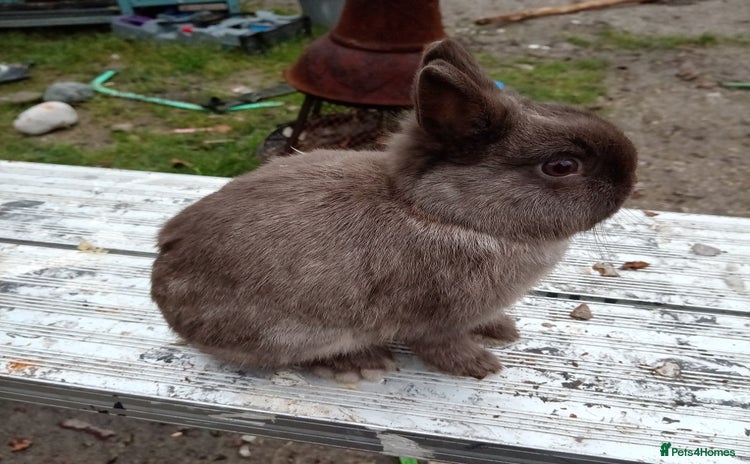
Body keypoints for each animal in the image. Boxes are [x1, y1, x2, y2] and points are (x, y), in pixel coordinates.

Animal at [151, 38, 637, 380]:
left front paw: (502, 330)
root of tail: (168, 306)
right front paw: (480, 365)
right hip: (295, 332)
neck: (445, 213)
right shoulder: (435, 318)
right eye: (562, 166)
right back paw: (359, 364)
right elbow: (440, 345)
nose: (630, 181)